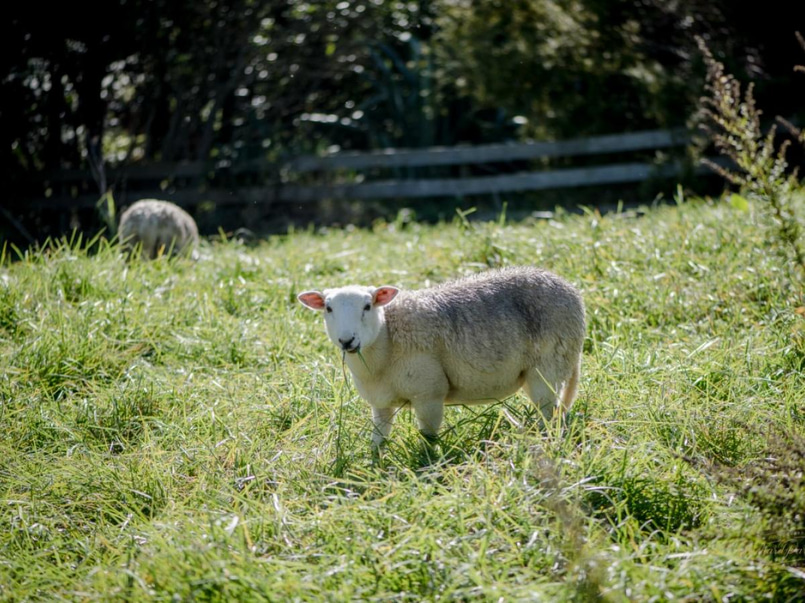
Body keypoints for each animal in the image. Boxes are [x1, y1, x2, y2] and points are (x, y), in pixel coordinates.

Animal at [296, 266, 584, 450]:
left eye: (368, 306)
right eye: (328, 308)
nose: (347, 341)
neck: (387, 339)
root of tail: (571, 290)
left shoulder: (429, 393)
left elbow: (428, 440)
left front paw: (427, 465)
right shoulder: (380, 403)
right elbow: (378, 442)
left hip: (548, 364)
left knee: (549, 415)